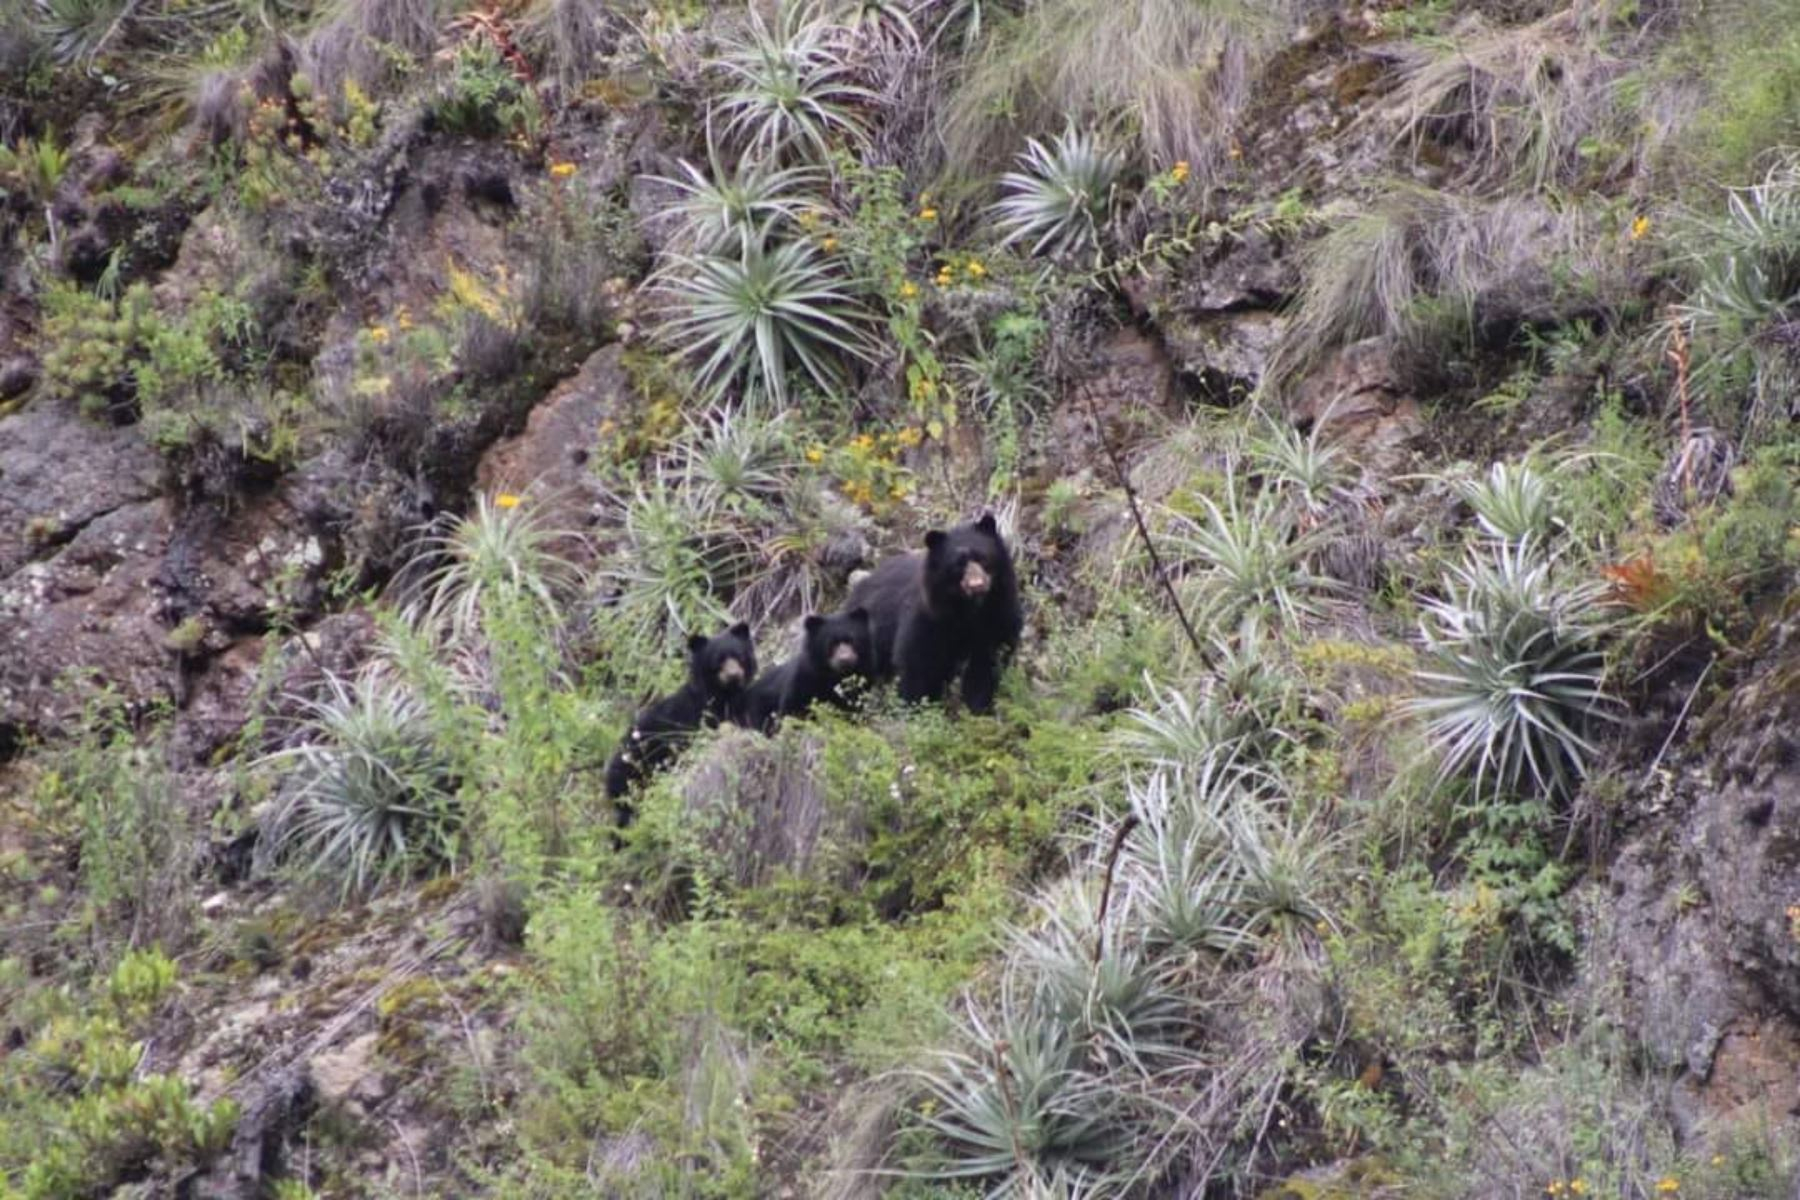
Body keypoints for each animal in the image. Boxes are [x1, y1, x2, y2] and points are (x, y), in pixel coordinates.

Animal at [597, 626, 752, 813]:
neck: (722, 694)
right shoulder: (695, 717)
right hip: (635, 774)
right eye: (718, 661)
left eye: (739, 656)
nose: (734, 675)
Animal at [741, 611, 874, 734]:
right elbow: (792, 710)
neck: (833, 675)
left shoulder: (864, 676)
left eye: (851, 640)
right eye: (832, 644)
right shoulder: (804, 679)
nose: (845, 659)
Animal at [846, 514, 1022, 712]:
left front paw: (977, 710)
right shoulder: (930, 619)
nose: (977, 585)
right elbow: (917, 666)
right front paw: (914, 709)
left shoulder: (999, 615)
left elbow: (986, 667)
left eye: (983, 558)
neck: (970, 610)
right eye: (958, 565)